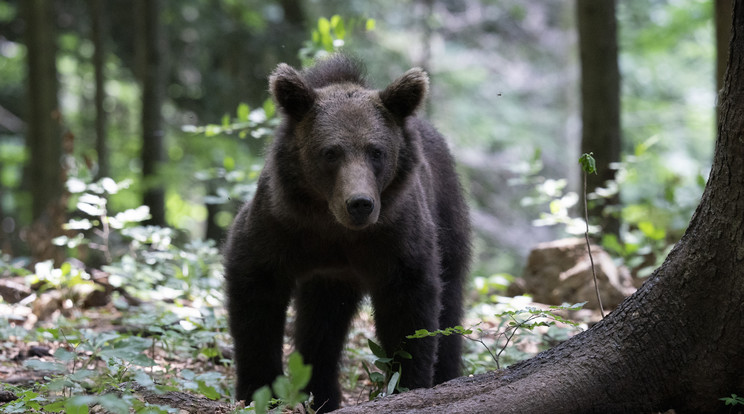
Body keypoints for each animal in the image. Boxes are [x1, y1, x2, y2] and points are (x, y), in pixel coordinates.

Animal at [222, 54, 470, 410]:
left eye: (376, 151)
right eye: (331, 152)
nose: (360, 203)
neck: (334, 228)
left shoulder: (395, 239)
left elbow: (411, 314)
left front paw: (409, 383)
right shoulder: (280, 226)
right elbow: (256, 295)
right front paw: (259, 388)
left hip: (446, 216)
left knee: (449, 303)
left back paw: (446, 376)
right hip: (329, 278)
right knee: (322, 326)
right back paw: (322, 394)